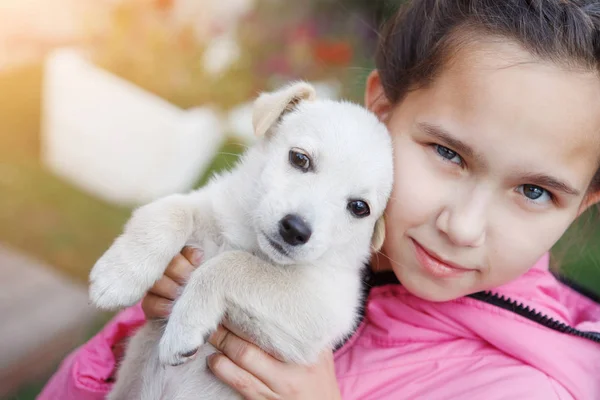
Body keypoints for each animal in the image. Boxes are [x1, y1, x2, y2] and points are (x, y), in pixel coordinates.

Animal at [88, 81, 394, 400]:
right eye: (299, 158)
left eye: (359, 208)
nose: (295, 229)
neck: (251, 240)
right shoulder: (209, 207)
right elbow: (171, 210)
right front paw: (117, 278)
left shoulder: (323, 305)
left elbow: (232, 265)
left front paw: (184, 328)